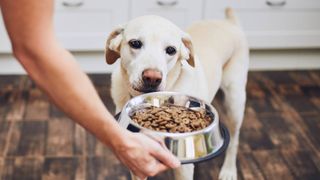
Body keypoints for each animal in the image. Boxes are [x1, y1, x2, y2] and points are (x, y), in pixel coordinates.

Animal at [104, 7, 248, 179]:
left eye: (171, 50)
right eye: (135, 43)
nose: (152, 78)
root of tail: (229, 22)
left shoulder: (183, 168)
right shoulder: (137, 160)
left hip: (235, 103)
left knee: (235, 140)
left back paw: (229, 170)